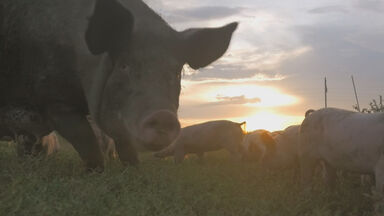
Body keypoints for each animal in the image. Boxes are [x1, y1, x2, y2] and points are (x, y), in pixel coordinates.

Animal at [0, 0, 237, 170]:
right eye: (124, 65)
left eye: (175, 71)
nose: (163, 116)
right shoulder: (54, 100)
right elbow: (85, 139)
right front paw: (96, 172)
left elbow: (125, 144)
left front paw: (134, 171)